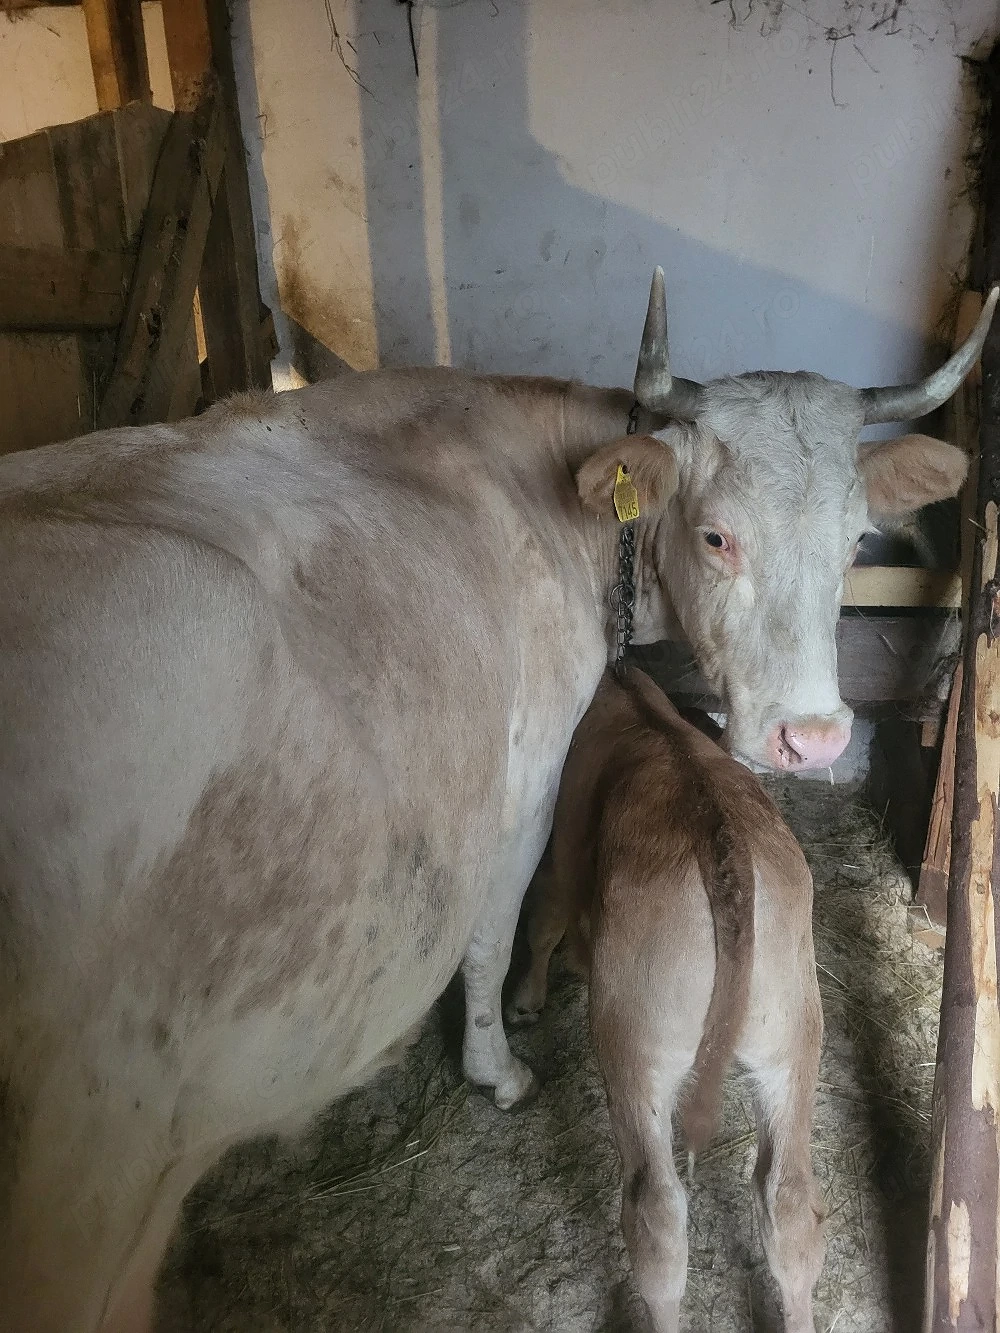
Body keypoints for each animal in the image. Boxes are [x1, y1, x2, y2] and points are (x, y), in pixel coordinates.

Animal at [508, 665, 824, 1332]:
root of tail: (720, 841)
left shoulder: (556, 861)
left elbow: (544, 919)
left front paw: (526, 998)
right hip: (793, 1031)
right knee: (787, 1201)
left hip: (633, 1040)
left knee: (655, 1210)